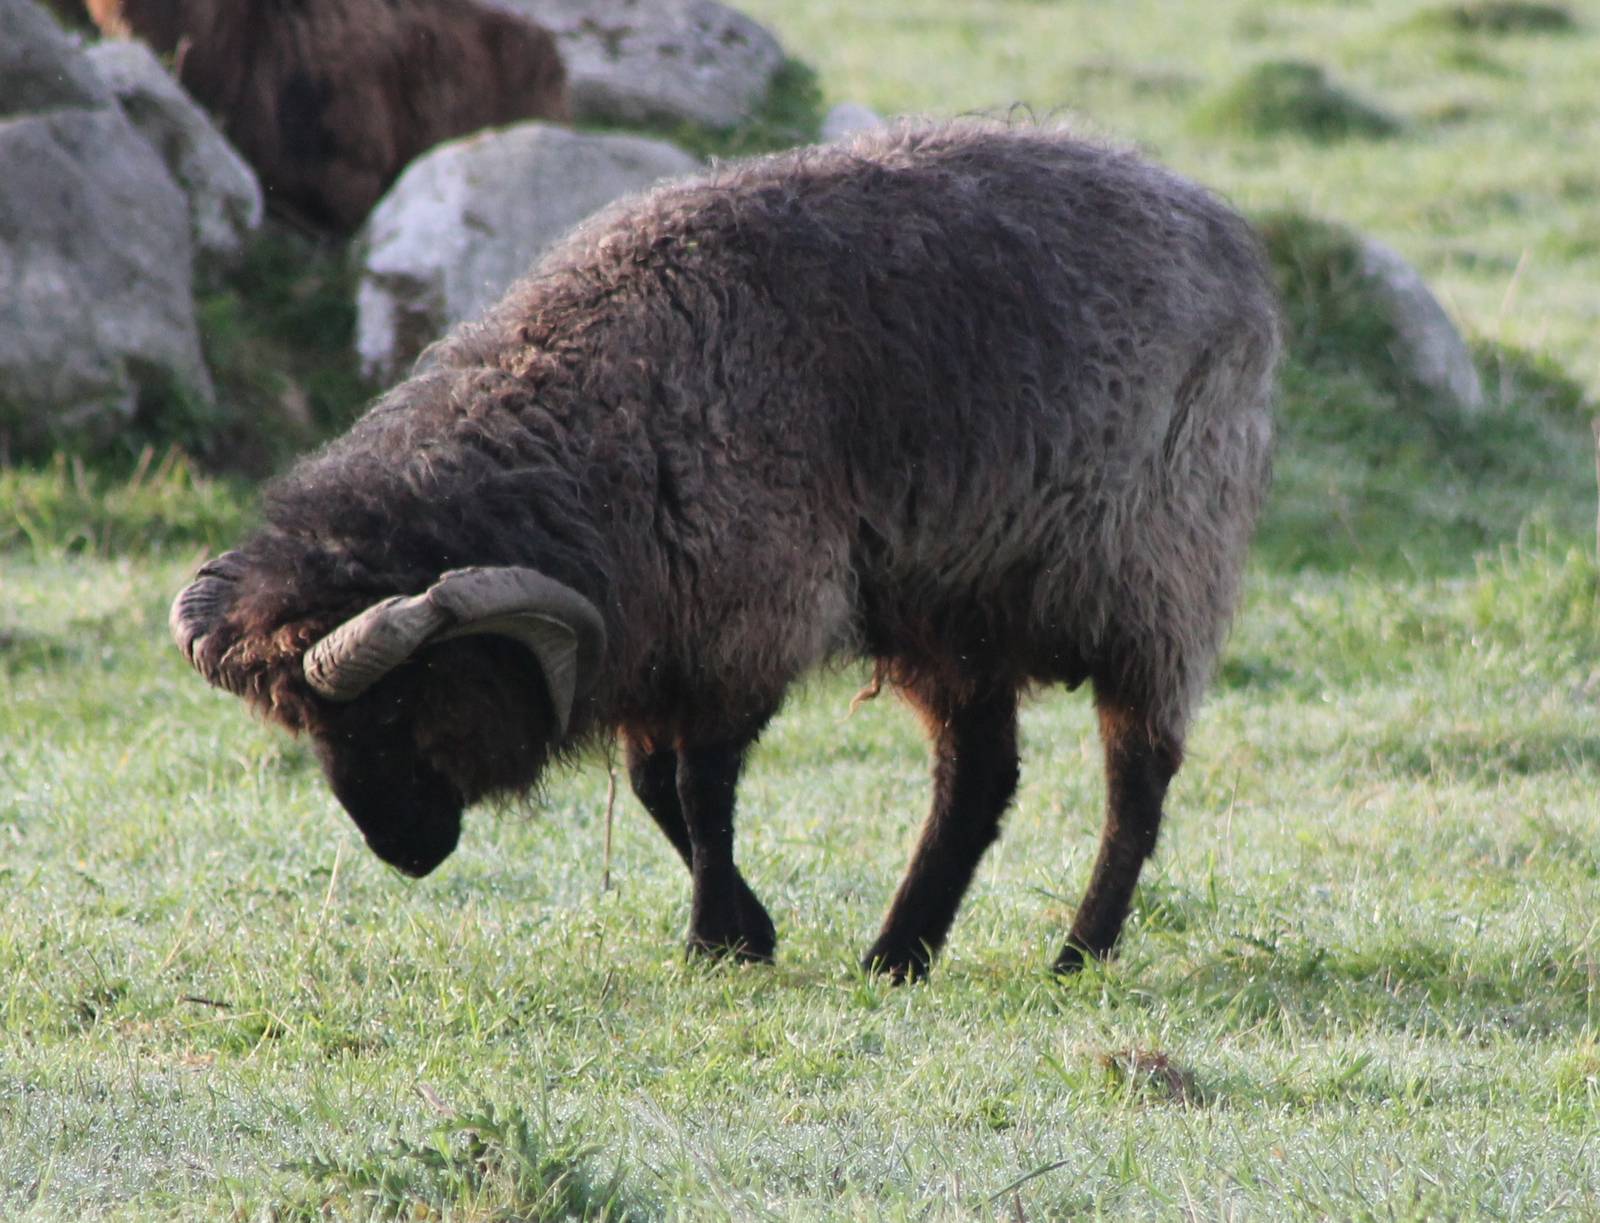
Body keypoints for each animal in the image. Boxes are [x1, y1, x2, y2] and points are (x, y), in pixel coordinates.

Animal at [171, 120, 1279, 980]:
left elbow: (700, 789)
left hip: (1155, 574)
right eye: (305, 725)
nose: (401, 849)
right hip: (948, 606)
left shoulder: (747, 618)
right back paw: (899, 954)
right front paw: (751, 930)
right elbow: (658, 788)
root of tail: (1223, 230)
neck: (597, 426)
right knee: (977, 778)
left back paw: (1077, 952)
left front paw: (715, 938)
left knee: (1136, 777)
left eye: (403, 699)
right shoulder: (657, 635)